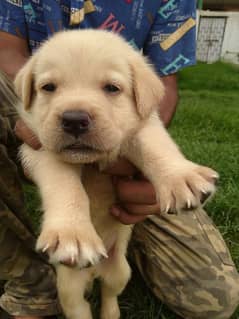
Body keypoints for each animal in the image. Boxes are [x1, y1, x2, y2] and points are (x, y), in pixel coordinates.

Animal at [14, 30, 218, 319]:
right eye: (49, 87)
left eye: (112, 88)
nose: (74, 119)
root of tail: (93, 272)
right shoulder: (38, 147)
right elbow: (64, 185)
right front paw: (73, 233)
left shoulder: (143, 123)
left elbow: (156, 145)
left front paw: (182, 178)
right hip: (68, 286)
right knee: (80, 307)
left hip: (121, 271)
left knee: (109, 293)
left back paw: (111, 312)